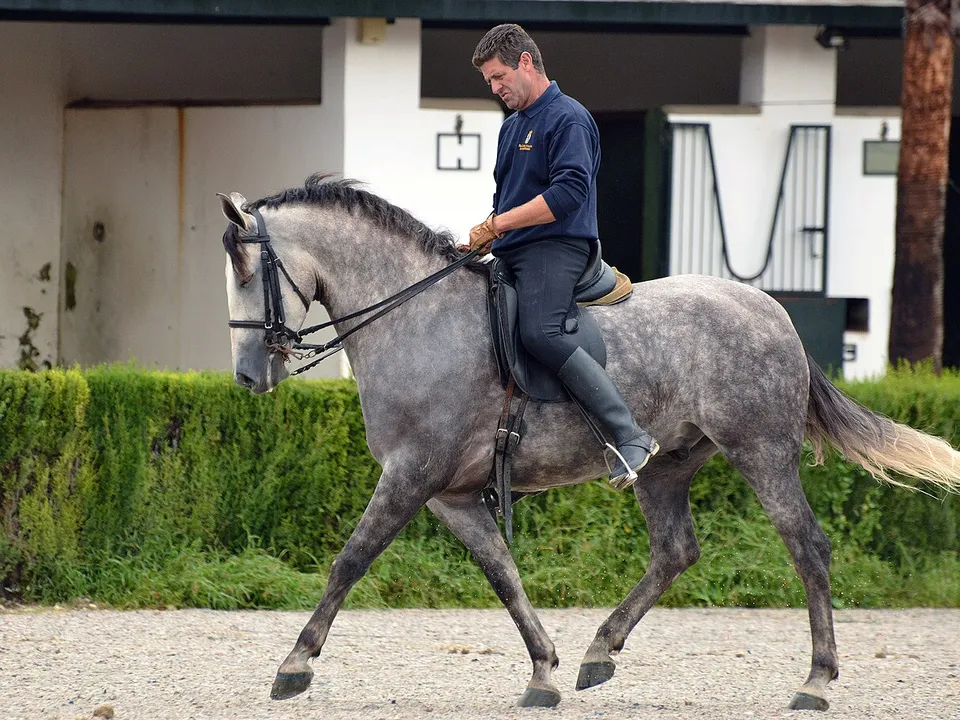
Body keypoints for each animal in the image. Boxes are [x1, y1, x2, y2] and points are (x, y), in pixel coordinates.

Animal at [218, 173, 960, 712]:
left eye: (249, 271)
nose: (249, 376)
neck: (413, 316)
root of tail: (771, 309)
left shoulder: (410, 475)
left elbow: (350, 560)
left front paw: (294, 665)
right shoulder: (448, 495)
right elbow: (503, 574)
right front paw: (543, 671)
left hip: (761, 451)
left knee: (807, 547)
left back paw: (815, 682)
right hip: (667, 466)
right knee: (676, 551)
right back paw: (599, 651)